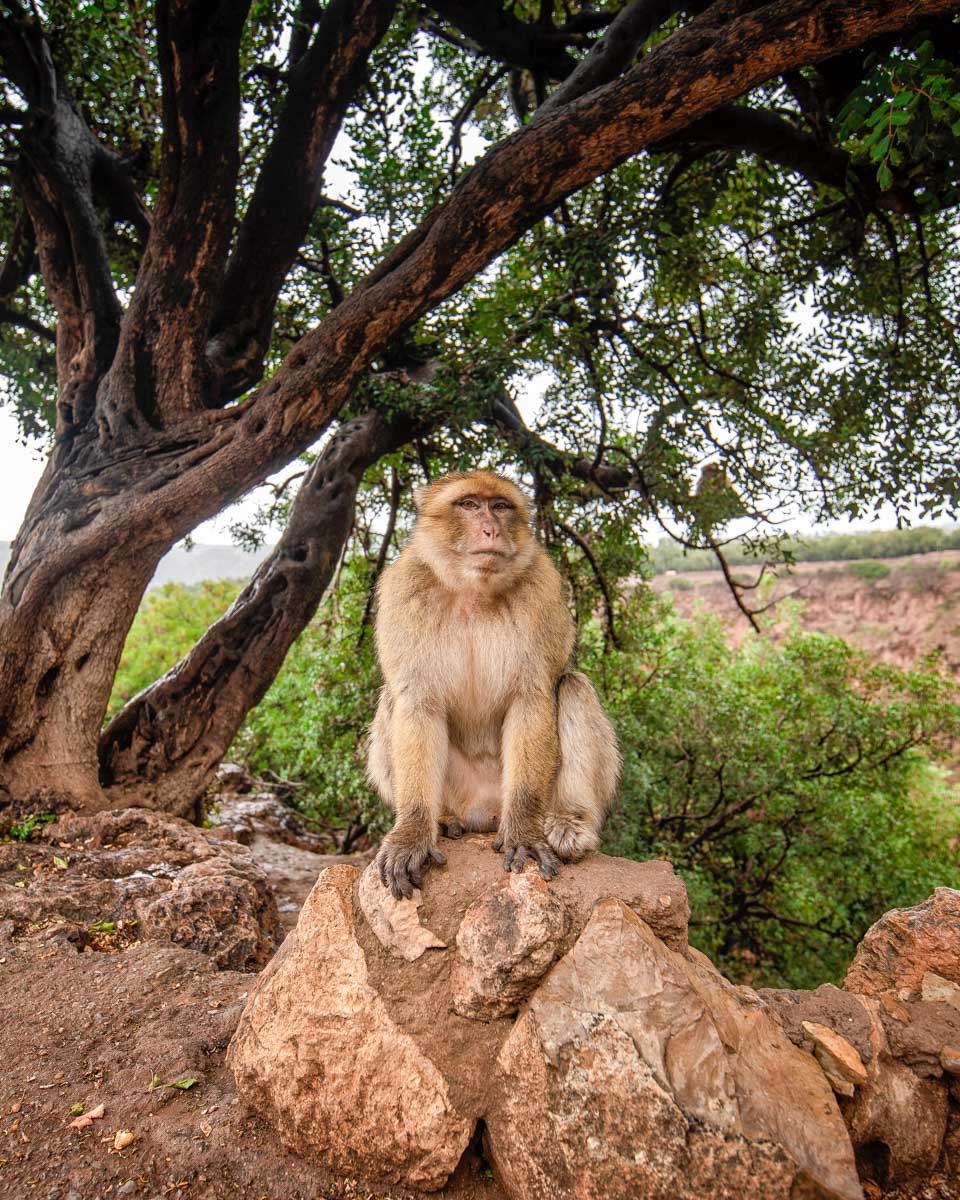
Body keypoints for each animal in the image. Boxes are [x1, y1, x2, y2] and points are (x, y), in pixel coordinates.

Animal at [366, 469, 621, 900]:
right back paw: (442, 819)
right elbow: (417, 703)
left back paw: (569, 823)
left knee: (573, 686)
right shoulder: (405, 593)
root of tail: (482, 813)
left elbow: (531, 698)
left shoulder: (542, 591)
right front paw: (412, 834)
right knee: (391, 699)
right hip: (457, 789)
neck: (472, 590)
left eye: (500, 506)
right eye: (469, 504)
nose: (491, 530)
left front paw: (523, 833)